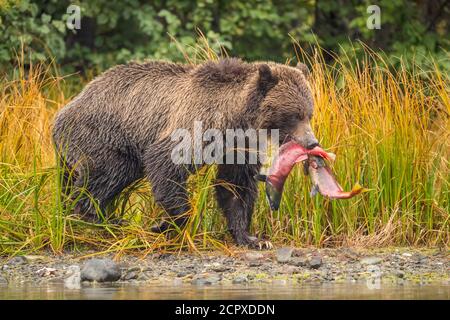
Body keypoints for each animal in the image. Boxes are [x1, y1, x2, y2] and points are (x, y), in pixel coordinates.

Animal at [52, 58, 318, 248]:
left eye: (309, 113)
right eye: (293, 115)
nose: (312, 142)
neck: (236, 118)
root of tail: (62, 112)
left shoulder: (240, 145)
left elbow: (235, 185)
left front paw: (252, 238)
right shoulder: (196, 124)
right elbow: (165, 163)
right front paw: (169, 223)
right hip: (103, 134)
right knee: (107, 173)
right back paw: (101, 218)